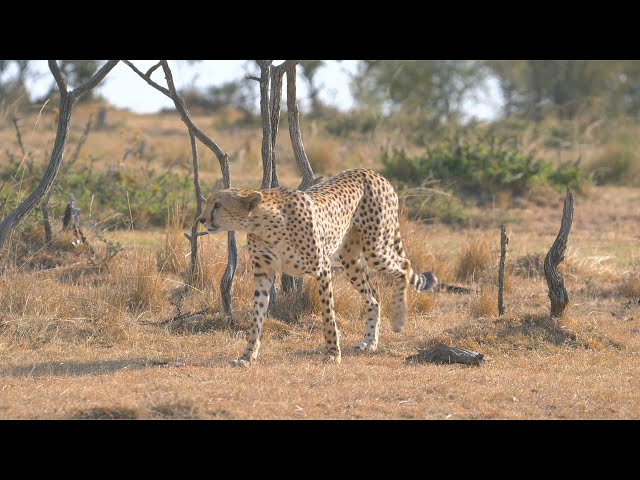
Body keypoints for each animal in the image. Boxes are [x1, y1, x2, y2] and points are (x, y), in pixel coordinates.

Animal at [200, 167, 440, 366]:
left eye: (217, 204)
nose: (201, 219)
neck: (262, 224)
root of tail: (372, 172)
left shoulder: (322, 268)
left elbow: (327, 314)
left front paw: (333, 353)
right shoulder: (263, 273)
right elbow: (256, 318)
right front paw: (247, 356)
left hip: (376, 249)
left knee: (404, 266)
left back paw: (398, 319)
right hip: (350, 260)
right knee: (374, 297)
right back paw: (369, 342)